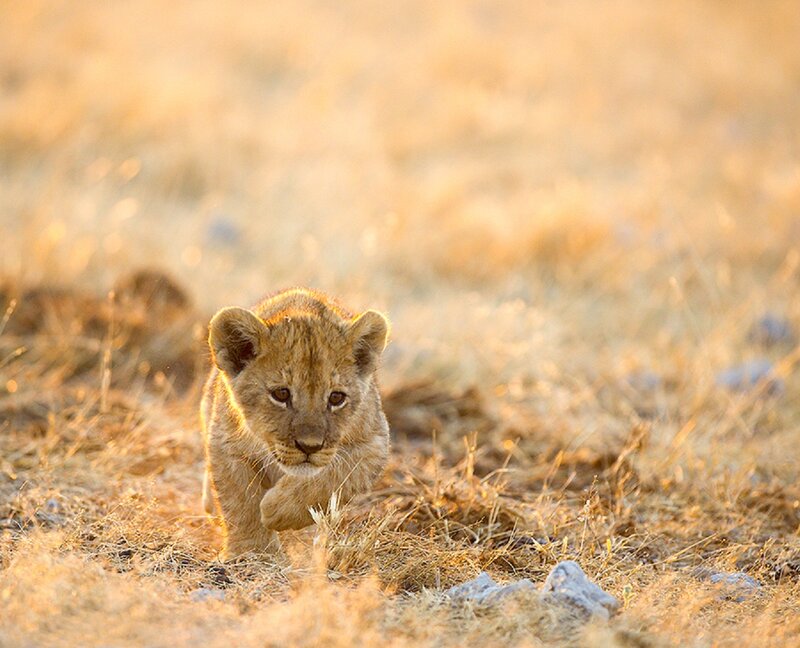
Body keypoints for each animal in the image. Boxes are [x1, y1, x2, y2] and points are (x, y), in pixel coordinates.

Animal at [200, 288, 390, 560]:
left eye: (336, 398)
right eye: (281, 394)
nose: (309, 447)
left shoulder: (375, 441)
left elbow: (333, 478)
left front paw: (277, 510)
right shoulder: (226, 444)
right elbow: (241, 500)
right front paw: (252, 552)